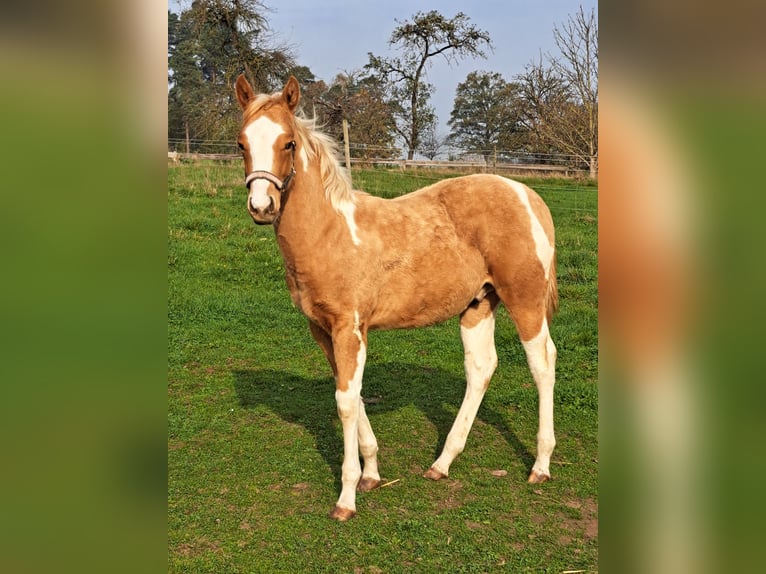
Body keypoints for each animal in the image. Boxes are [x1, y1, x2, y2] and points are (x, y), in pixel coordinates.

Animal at [232, 75, 560, 520]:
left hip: (524, 300)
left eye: (288, 144)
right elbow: (350, 392)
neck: (330, 233)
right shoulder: (324, 331)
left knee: (542, 364)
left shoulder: (349, 328)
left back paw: (540, 465)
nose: (261, 206)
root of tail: (528, 195)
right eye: (241, 143)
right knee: (481, 368)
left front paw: (347, 497)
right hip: (478, 304)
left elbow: (345, 402)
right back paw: (442, 463)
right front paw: (371, 473)